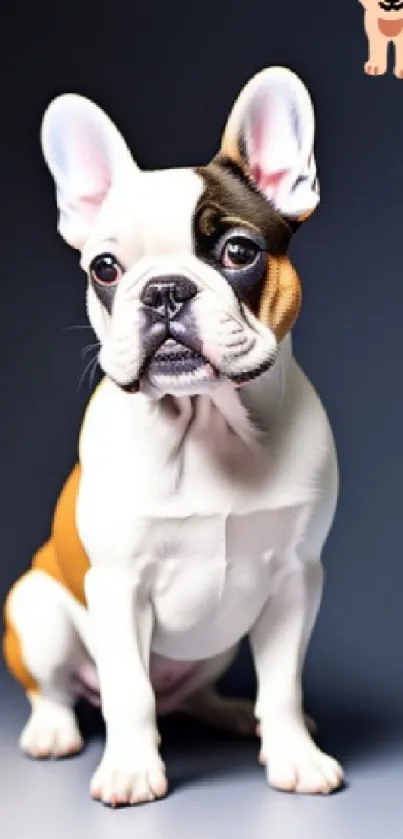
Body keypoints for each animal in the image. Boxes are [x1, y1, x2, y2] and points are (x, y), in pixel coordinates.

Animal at [2, 67, 344, 808]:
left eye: (239, 251)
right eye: (104, 268)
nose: (162, 289)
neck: (206, 420)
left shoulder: (295, 578)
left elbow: (282, 682)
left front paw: (293, 755)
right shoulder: (118, 585)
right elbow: (129, 692)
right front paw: (132, 769)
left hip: (218, 646)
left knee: (192, 694)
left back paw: (233, 715)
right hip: (35, 607)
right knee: (65, 690)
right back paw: (52, 730)